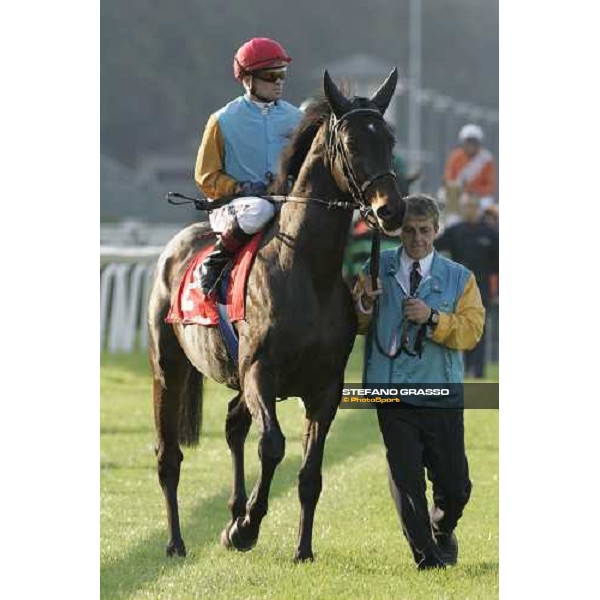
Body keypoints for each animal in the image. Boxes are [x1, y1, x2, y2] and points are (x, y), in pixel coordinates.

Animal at [148, 70, 406, 564]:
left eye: (389, 138)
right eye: (350, 142)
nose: (391, 210)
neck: (305, 270)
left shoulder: (326, 387)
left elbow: (311, 472)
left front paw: (301, 547)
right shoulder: (260, 372)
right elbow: (272, 446)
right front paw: (247, 527)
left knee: (233, 423)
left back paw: (231, 512)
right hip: (167, 368)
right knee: (169, 456)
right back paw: (176, 540)